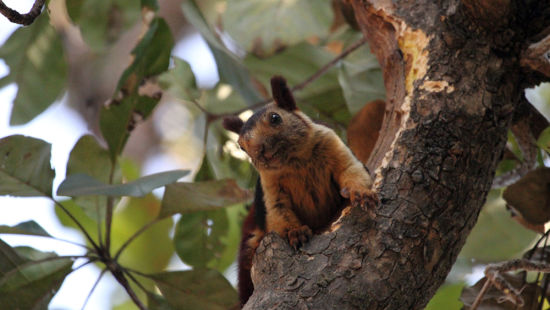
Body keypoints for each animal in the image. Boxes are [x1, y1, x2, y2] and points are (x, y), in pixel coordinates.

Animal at [224, 76, 384, 306]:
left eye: (275, 118)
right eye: (241, 146)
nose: (260, 152)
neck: (294, 161)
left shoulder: (334, 145)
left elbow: (351, 171)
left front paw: (363, 193)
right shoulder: (270, 190)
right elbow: (279, 214)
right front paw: (296, 232)